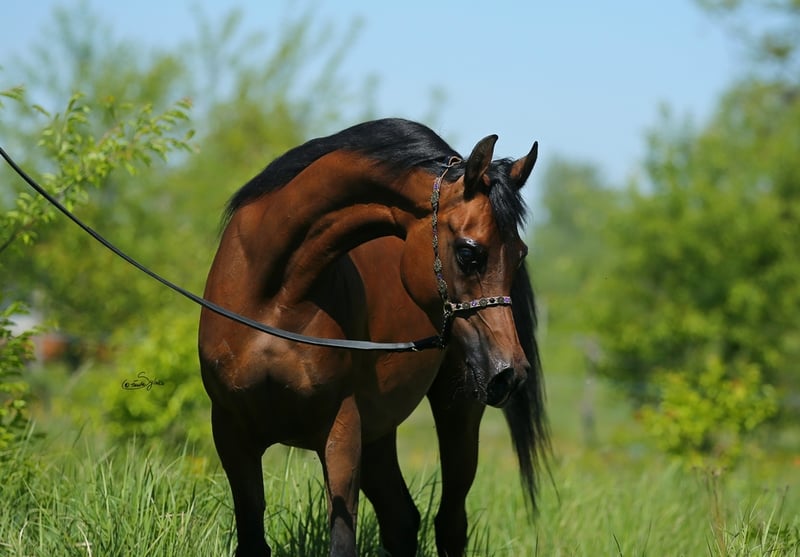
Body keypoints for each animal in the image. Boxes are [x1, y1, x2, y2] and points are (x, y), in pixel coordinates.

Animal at [198, 118, 548, 557]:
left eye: (519, 254)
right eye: (469, 253)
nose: (511, 373)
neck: (271, 294)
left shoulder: (341, 433)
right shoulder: (231, 433)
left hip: (457, 410)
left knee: (449, 521)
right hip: (380, 430)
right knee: (402, 520)